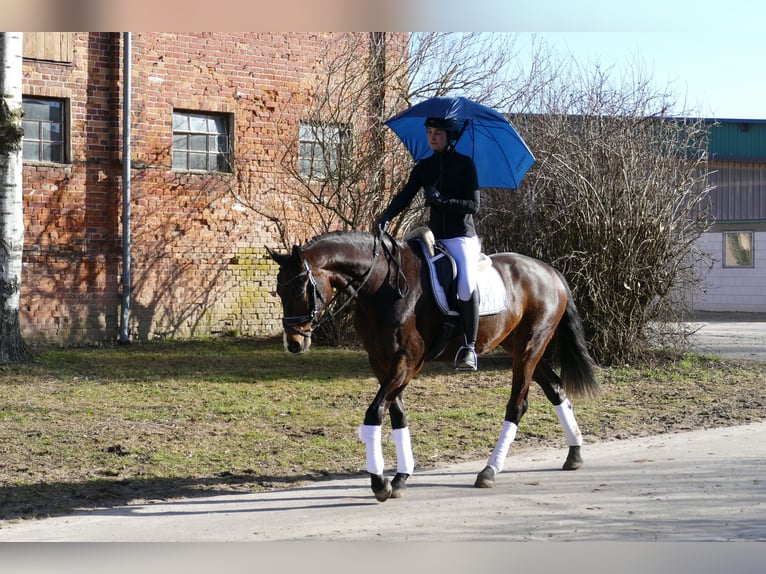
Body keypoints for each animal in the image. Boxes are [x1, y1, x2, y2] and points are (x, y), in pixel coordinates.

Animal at [267, 229, 599, 502]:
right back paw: (574, 454)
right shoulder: (381, 361)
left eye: (302, 288)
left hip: (530, 347)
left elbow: (376, 411)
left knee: (517, 405)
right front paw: (400, 478)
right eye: (279, 291)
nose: (293, 343)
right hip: (521, 348)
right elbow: (397, 413)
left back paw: (489, 470)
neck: (381, 286)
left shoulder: (408, 361)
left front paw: (379, 482)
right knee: (555, 389)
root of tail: (549, 271)